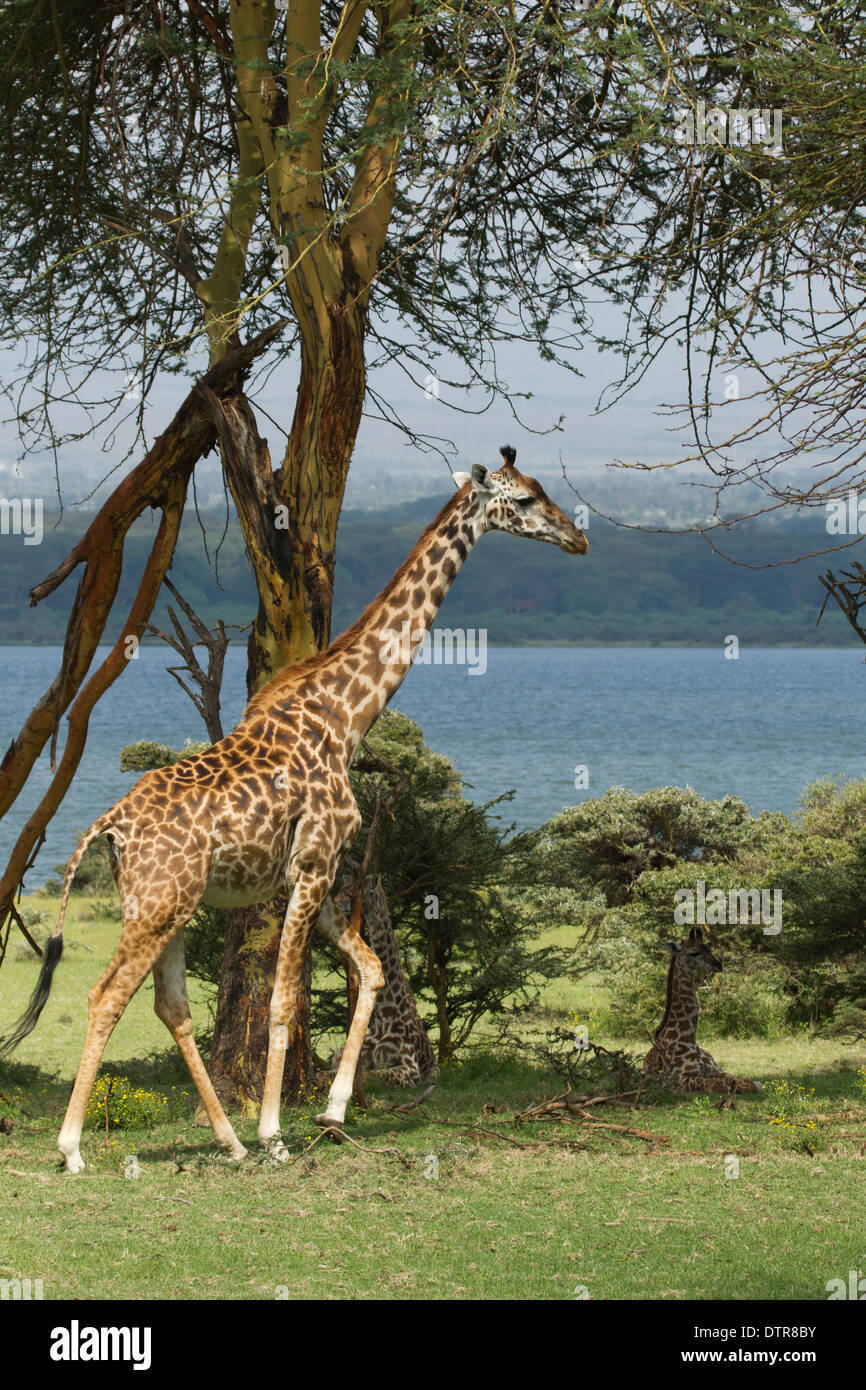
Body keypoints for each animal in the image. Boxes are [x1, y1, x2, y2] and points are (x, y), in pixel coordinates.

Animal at [332, 867, 439, 1084]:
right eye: (341, 889)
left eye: (351, 893)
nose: (334, 902)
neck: (384, 1017)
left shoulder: (410, 1068)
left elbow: (371, 1076)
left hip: (433, 1072)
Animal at [644, 922, 767, 1095]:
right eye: (694, 953)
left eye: (709, 948)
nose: (718, 965)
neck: (687, 1037)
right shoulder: (675, 1080)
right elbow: (718, 1085)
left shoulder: (715, 1069)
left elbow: (744, 1082)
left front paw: (754, 1084)